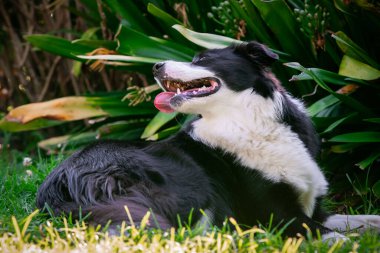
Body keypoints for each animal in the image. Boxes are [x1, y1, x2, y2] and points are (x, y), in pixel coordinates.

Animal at [37, 41, 380, 239]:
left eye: (201, 57)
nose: (155, 66)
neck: (245, 121)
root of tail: (61, 183)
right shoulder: (276, 215)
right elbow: (332, 236)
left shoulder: (314, 209)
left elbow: (364, 220)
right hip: (189, 186)